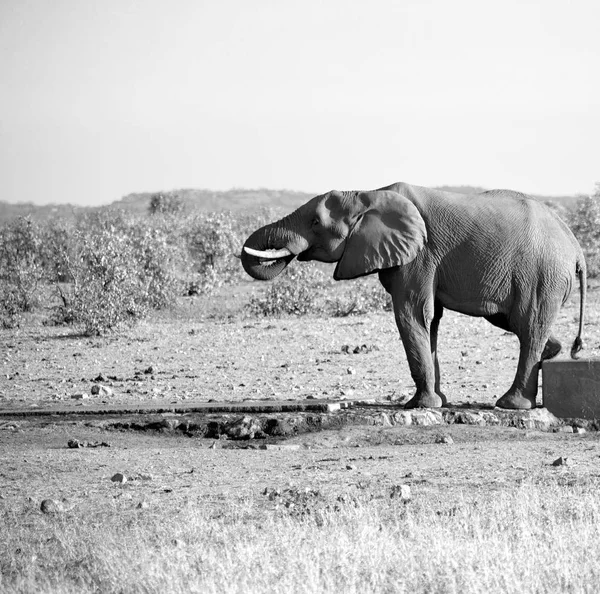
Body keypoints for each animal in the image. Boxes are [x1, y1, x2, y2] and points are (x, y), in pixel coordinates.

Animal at [240, 180, 584, 410]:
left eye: (315, 222)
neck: (368, 192)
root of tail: (577, 248)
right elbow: (430, 321)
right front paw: (438, 401)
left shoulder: (420, 255)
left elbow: (412, 313)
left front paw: (419, 405)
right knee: (516, 322)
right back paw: (553, 353)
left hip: (542, 275)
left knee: (529, 325)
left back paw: (510, 404)